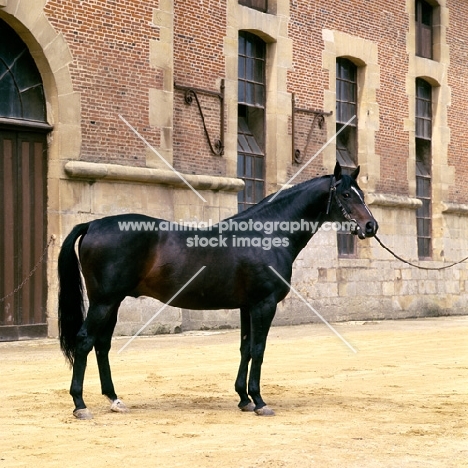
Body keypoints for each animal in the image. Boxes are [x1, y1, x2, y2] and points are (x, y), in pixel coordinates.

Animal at [58, 163, 378, 418]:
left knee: (102, 345)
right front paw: (259, 401)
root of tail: (93, 223)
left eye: (361, 193)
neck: (266, 234)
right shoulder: (264, 304)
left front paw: (244, 399)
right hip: (104, 301)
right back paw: (80, 405)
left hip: (112, 302)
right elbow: (259, 349)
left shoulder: (247, 306)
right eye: (346, 195)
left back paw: (114, 399)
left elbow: (245, 348)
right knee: (85, 341)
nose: (370, 226)